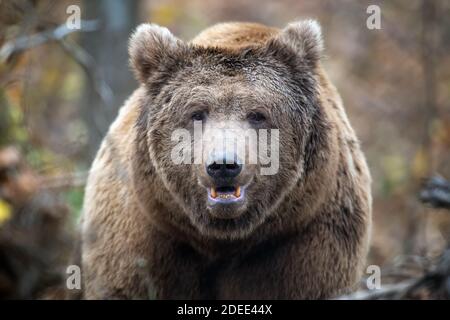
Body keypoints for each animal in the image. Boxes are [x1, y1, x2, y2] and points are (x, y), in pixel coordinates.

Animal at [81, 20, 372, 300]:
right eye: (197, 113)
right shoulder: (145, 234)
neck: (222, 239)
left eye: (258, 114)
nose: (223, 165)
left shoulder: (304, 238)